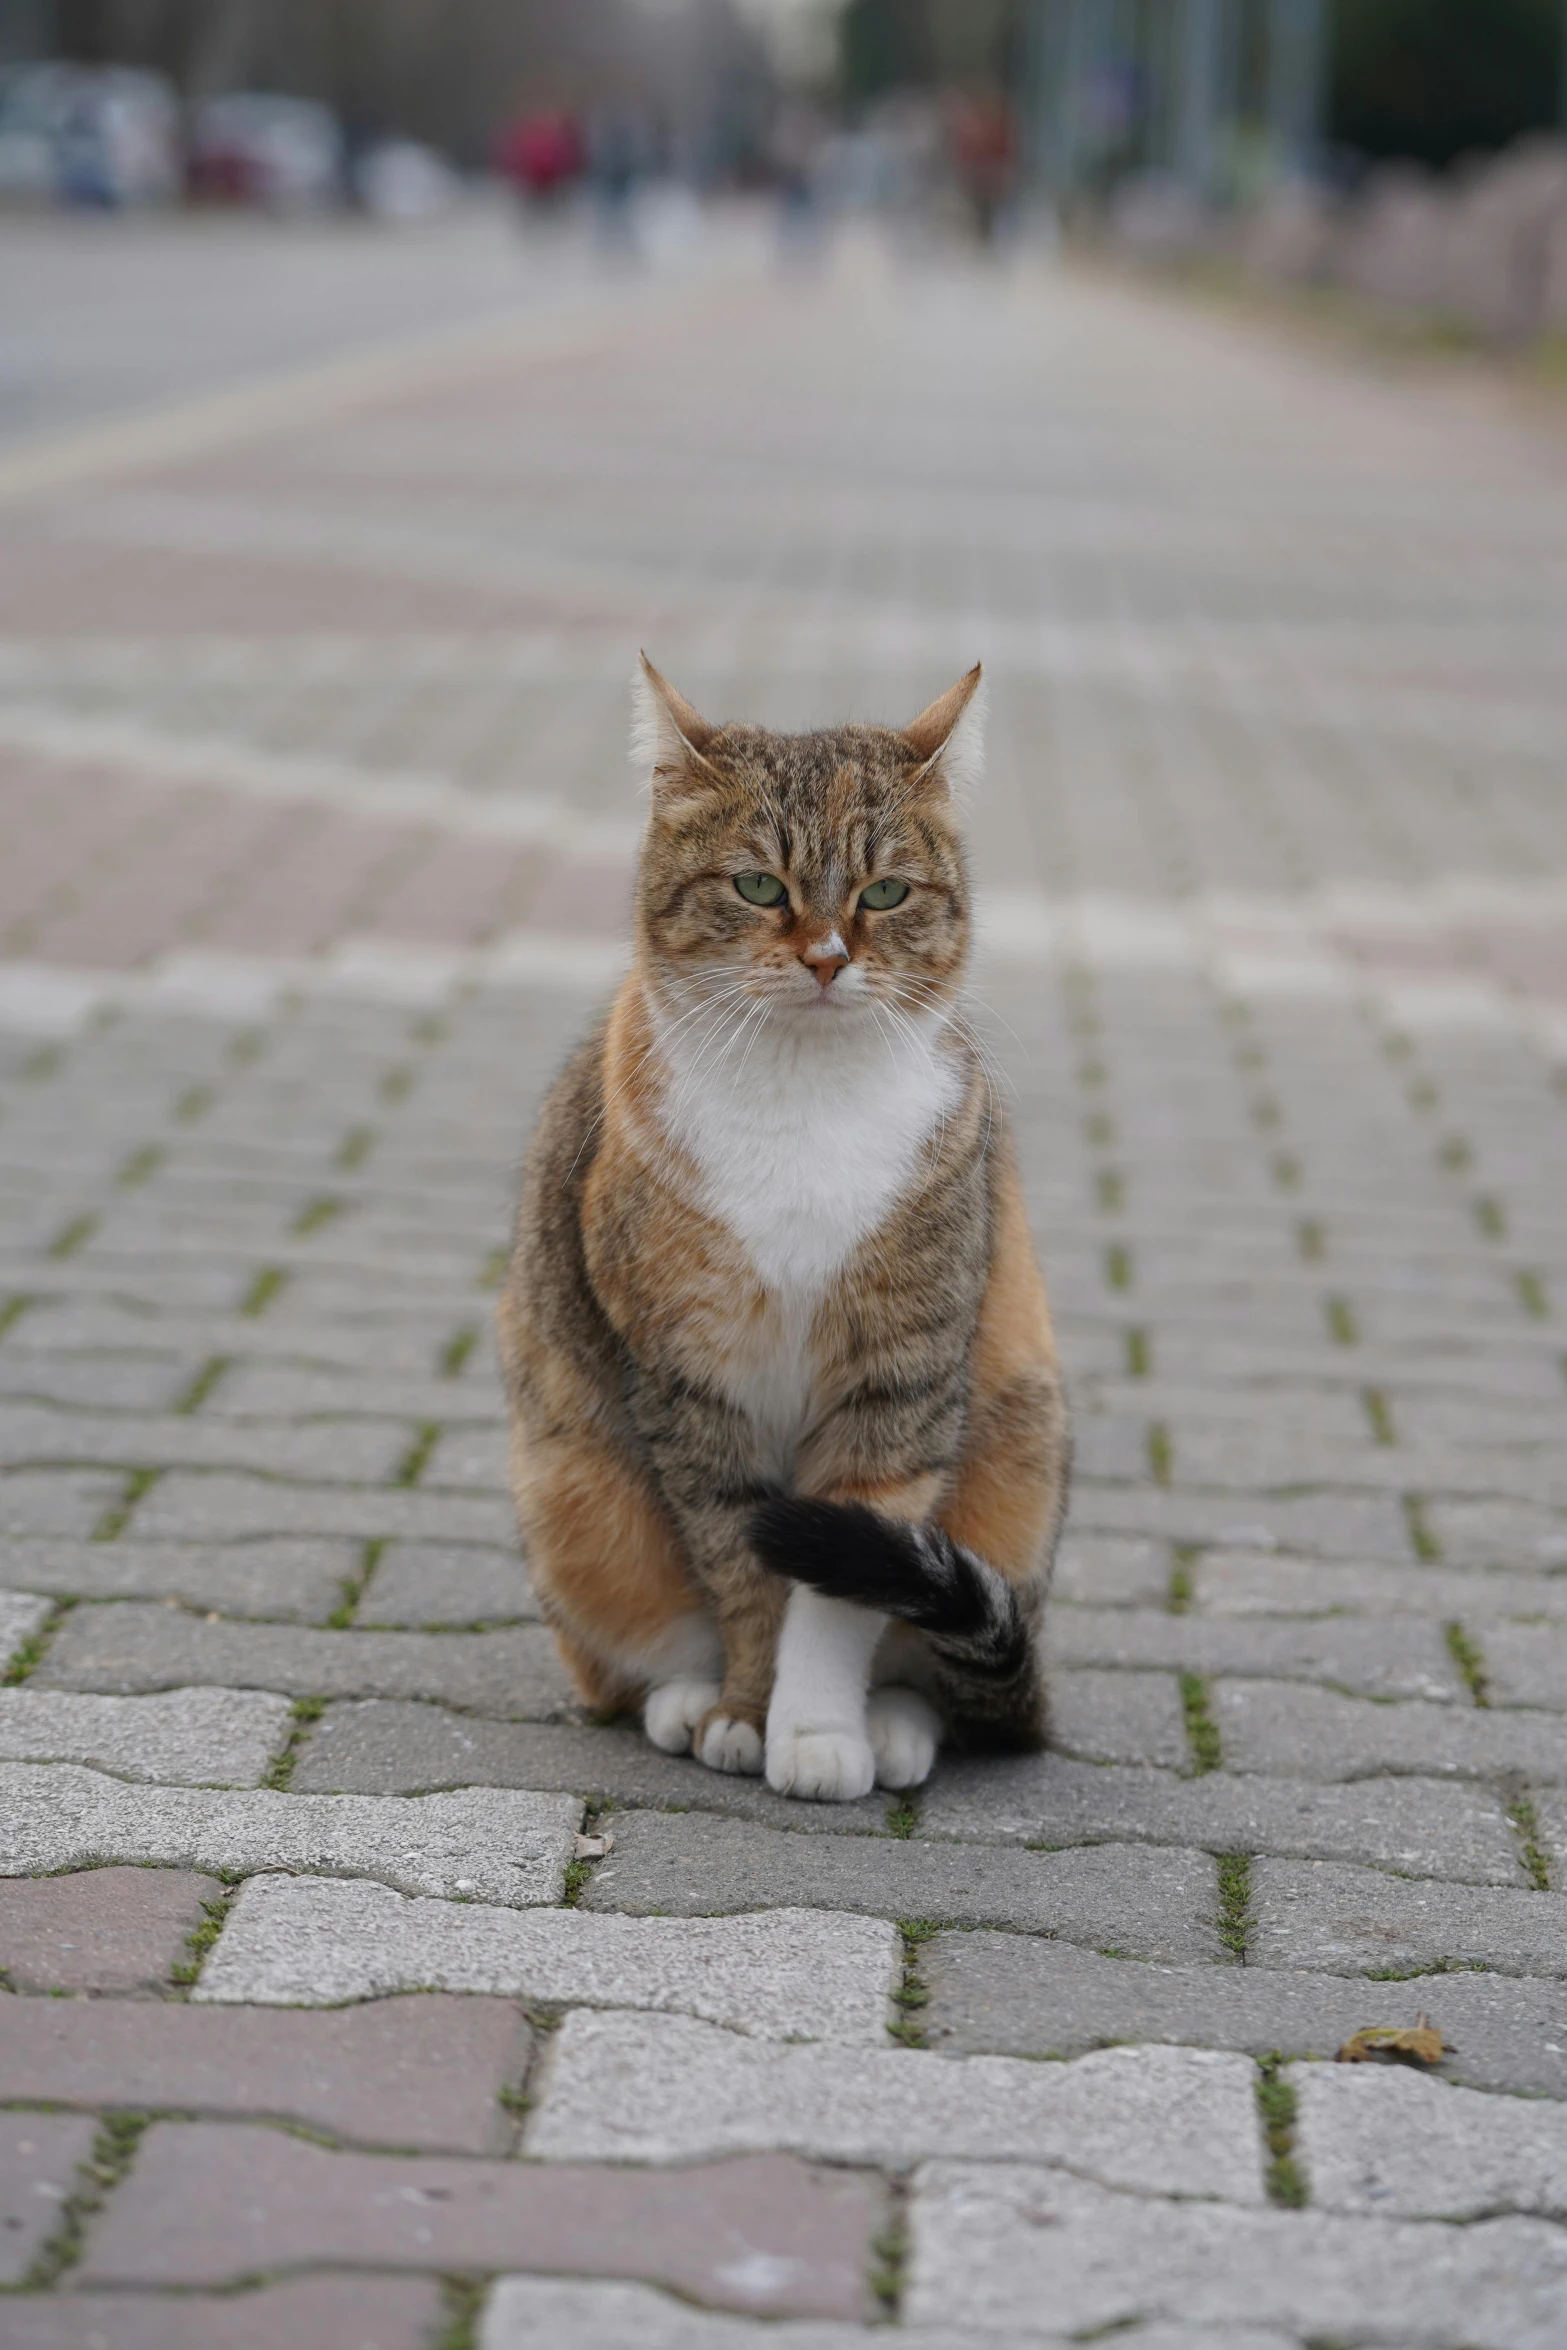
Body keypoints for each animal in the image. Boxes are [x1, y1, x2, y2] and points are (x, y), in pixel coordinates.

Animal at [500, 662, 1066, 1795]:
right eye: (759, 886)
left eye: (885, 892)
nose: (826, 959)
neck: (805, 1105)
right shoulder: (686, 1378)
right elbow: (742, 1569)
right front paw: (747, 1712)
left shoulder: (896, 1380)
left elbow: (843, 1588)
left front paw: (814, 1731)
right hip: (570, 1486)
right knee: (625, 1654)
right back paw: (685, 1697)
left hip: (1020, 1449)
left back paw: (892, 1726)